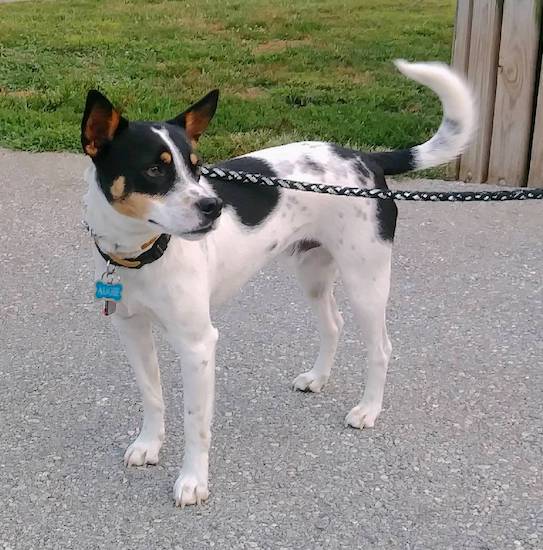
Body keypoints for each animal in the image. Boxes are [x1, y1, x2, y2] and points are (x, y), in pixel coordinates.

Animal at [82, 61, 476, 508]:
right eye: (153, 169)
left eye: (197, 168)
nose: (214, 207)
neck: (143, 252)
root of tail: (364, 157)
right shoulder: (131, 329)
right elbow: (152, 394)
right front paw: (149, 445)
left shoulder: (198, 345)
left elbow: (196, 422)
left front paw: (193, 481)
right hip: (314, 274)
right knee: (333, 325)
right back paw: (318, 378)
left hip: (367, 279)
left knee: (381, 348)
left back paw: (368, 410)